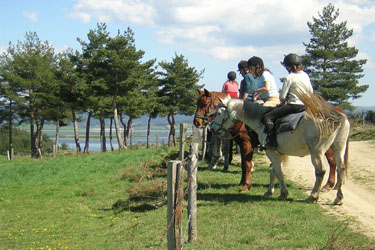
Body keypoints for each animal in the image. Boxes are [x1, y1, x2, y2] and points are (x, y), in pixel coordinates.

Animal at [210, 93, 352, 206]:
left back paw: (313, 196)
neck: (259, 120)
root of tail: (337, 116)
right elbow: (273, 172)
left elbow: (278, 172)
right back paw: (338, 198)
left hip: (317, 152)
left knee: (321, 171)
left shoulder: (269, 151)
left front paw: (283, 193)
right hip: (338, 148)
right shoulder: (274, 153)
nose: (212, 128)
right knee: (341, 170)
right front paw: (269, 191)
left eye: (218, 113)